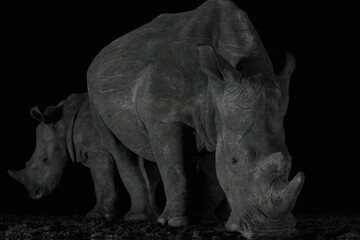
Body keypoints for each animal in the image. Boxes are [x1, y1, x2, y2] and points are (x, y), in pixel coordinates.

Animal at [8, 93, 158, 219]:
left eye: (44, 160)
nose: (34, 194)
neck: (63, 123)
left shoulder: (97, 150)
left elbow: (104, 180)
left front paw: (98, 215)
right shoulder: (89, 152)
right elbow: (98, 183)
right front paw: (98, 214)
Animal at [86, 0, 304, 237]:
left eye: (290, 161)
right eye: (235, 161)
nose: (274, 230)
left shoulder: (218, 118)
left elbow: (213, 175)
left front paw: (215, 221)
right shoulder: (165, 118)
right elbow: (173, 169)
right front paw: (174, 223)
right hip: (93, 91)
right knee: (120, 149)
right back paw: (141, 218)